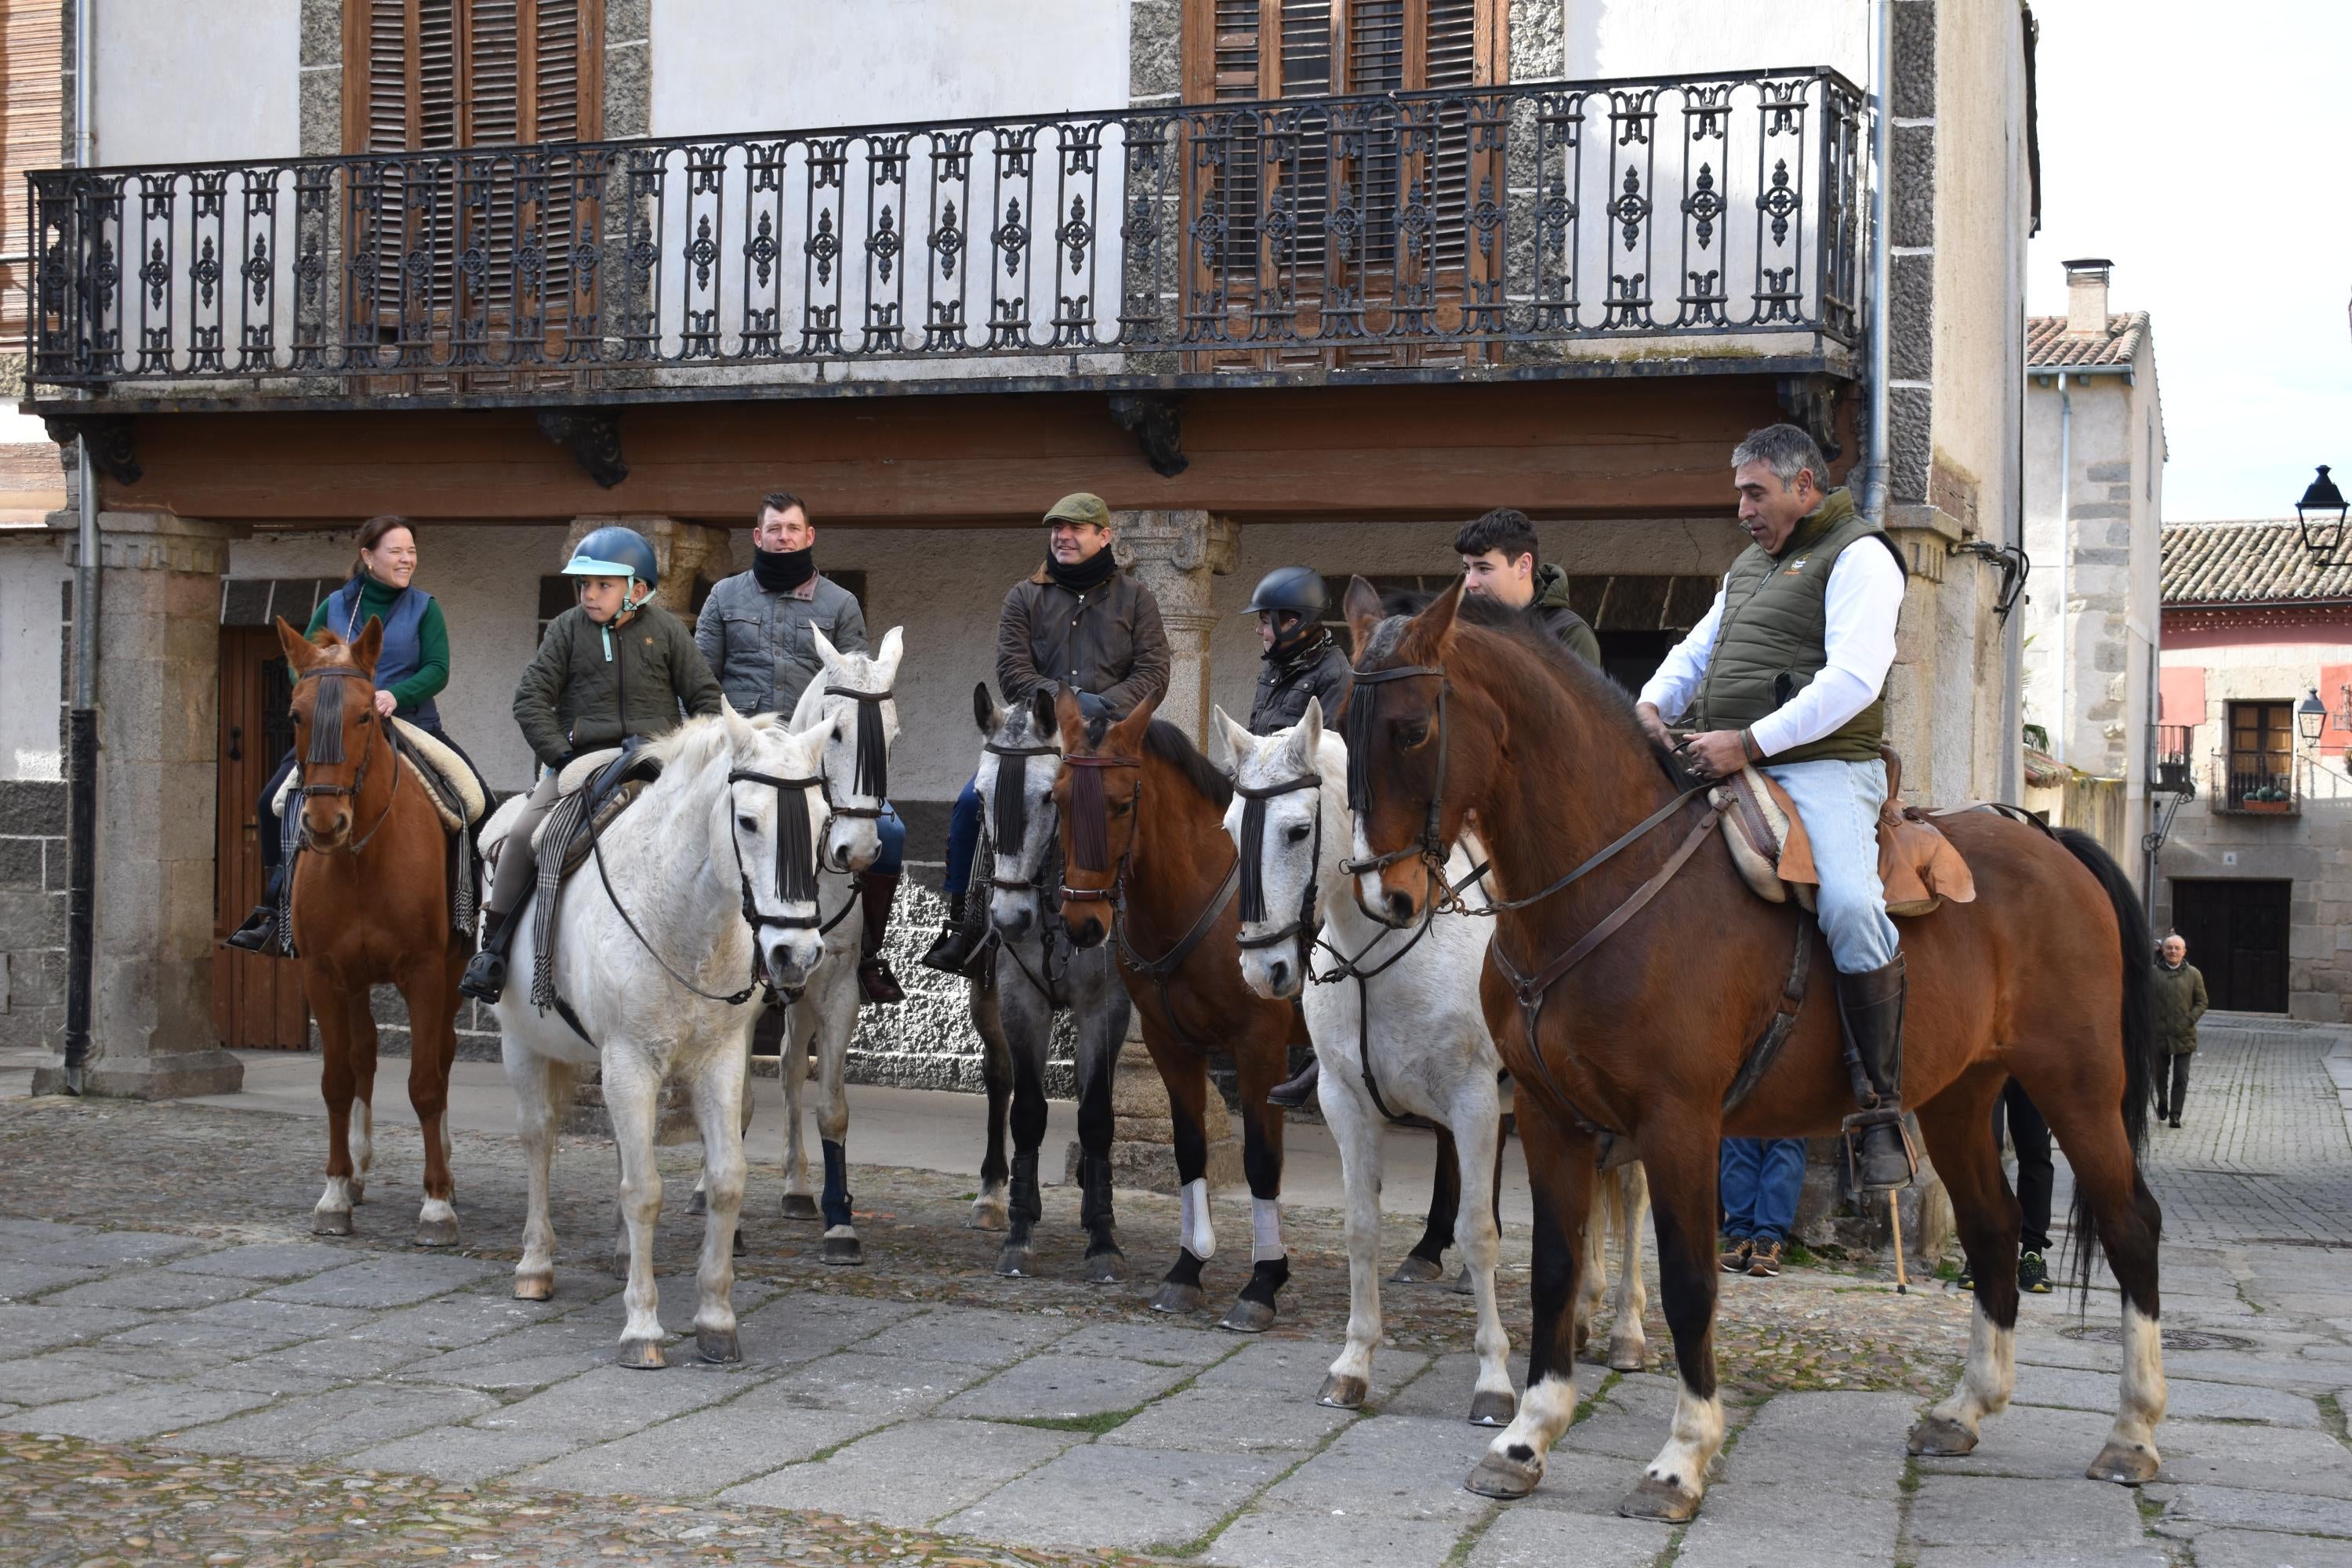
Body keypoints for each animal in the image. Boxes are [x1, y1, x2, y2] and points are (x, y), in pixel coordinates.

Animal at [275, 620, 468, 1241]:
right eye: (295, 715)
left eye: (365, 715)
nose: (324, 824)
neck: (361, 856)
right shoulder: (323, 974)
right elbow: (337, 1079)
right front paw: (335, 1193)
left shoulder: (426, 973)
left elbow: (425, 1082)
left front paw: (436, 1204)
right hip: (354, 981)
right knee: (363, 1056)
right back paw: (358, 1172)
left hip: (453, 973)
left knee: (443, 1056)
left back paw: (446, 1170)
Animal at [487, 705, 837, 1363]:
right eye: (748, 821)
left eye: (824, 822)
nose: (795, 955)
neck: (683, 921)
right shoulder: (630, 1062)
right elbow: (644, 1190)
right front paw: (643, 1328)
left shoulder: (719, 1062)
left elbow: (724, 1181)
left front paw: (716, 1320)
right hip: (523, 1044)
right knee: (539, 1140)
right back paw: (535, 1265)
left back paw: (622, 1254)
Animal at [1058, 691, 1317, 1335]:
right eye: (1057, 799)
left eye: (1122, 804)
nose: (1083, 924)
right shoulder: (1169, 1043)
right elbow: (1189, 1148)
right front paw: (1187, 1268)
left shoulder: (1259, 1046)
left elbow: (1261, 1160)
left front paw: (1263, 1281)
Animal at [1223, 695, 1646, 1420]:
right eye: (1230, 829)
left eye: (1298, 831)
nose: (1264, 970)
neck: (1387, 951)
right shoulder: (1345, 1103)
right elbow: (1361, 1228)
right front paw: (1353, 1364)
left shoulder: (1474, 1105)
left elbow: (1479, 1233)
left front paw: (1494, 1381)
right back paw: (1582, 1318)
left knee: (1635, 1193)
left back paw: (1626, 1330)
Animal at [1345, 580, 2164, 1523]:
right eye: (1342, 722)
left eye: (1413, 729)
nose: (1385, 895)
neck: (1607, 883)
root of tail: (2045, 835)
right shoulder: (1553, 1120)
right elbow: (1554, 1266)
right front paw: (1526, 1437)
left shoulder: (1679, 1124)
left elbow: (1690, 1281)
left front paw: (1680, 1459)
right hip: (1961, 1094)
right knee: (1993, 1229)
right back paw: (1964, 1410)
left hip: (2076, 1083)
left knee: (2131, 1224)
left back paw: (2133, 1433)